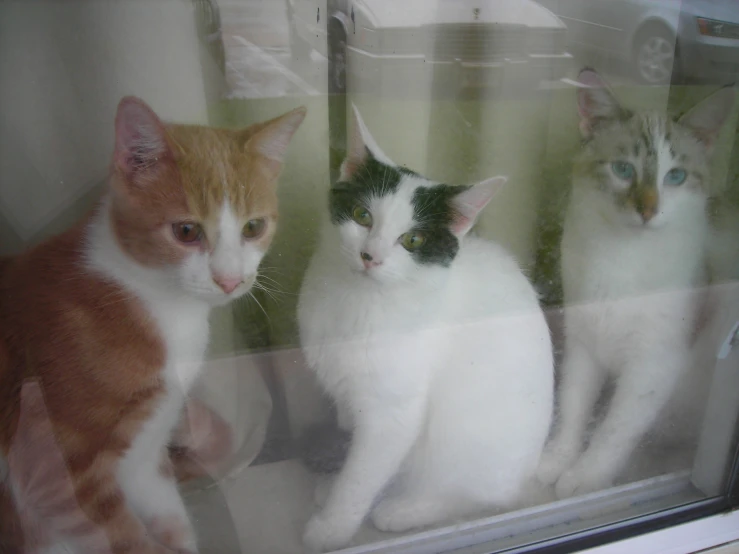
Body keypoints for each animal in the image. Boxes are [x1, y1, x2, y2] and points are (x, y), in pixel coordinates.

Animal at [0, 97, 306, 548]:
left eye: (253, 227)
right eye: (186, 231)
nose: (230, 280)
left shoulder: (145, 455)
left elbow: (170, 520)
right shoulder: (56, 474)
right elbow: (126, 540)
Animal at [298, 105, 552, 548]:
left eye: (412, 240)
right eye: (363, 216)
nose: (370, 256)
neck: (359, 302)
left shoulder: (393, 414)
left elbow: (362, 475)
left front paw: (332, 528)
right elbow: (357, 459)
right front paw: (335, 489)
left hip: (465, 440)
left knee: (478, 496)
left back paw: (405, 510)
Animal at [536, 68, 739, 496]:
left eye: (675, 176)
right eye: (623, 170)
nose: (648, 210)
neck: (622, 259)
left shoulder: (653, 365)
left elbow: (614, 430)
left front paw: (584, 478)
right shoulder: (584, 343)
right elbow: (574, 407)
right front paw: (557, 460)